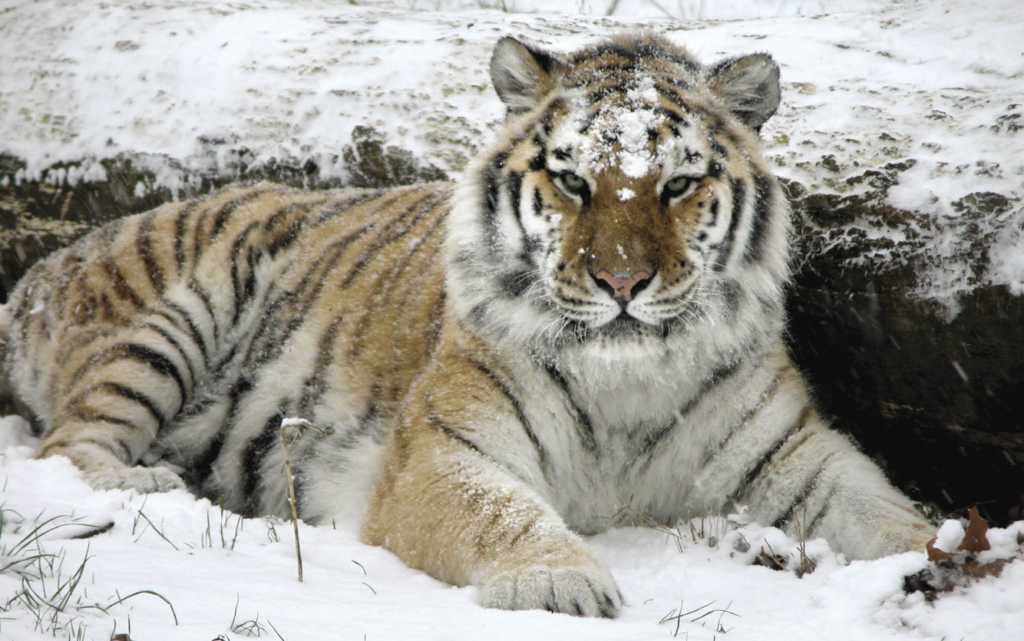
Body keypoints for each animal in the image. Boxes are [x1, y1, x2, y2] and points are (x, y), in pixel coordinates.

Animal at [0, 33, 934, 618]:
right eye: (573, 181)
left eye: (675, 184)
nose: (622, 280)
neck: (628, 378)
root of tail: (47, 263)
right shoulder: (443, 450)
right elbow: (503, 513)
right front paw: (561, 582)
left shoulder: (794, 457)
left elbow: (884, 511)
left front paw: (940, 563)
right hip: (176, 317)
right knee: (65, 448)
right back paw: (149, 484)